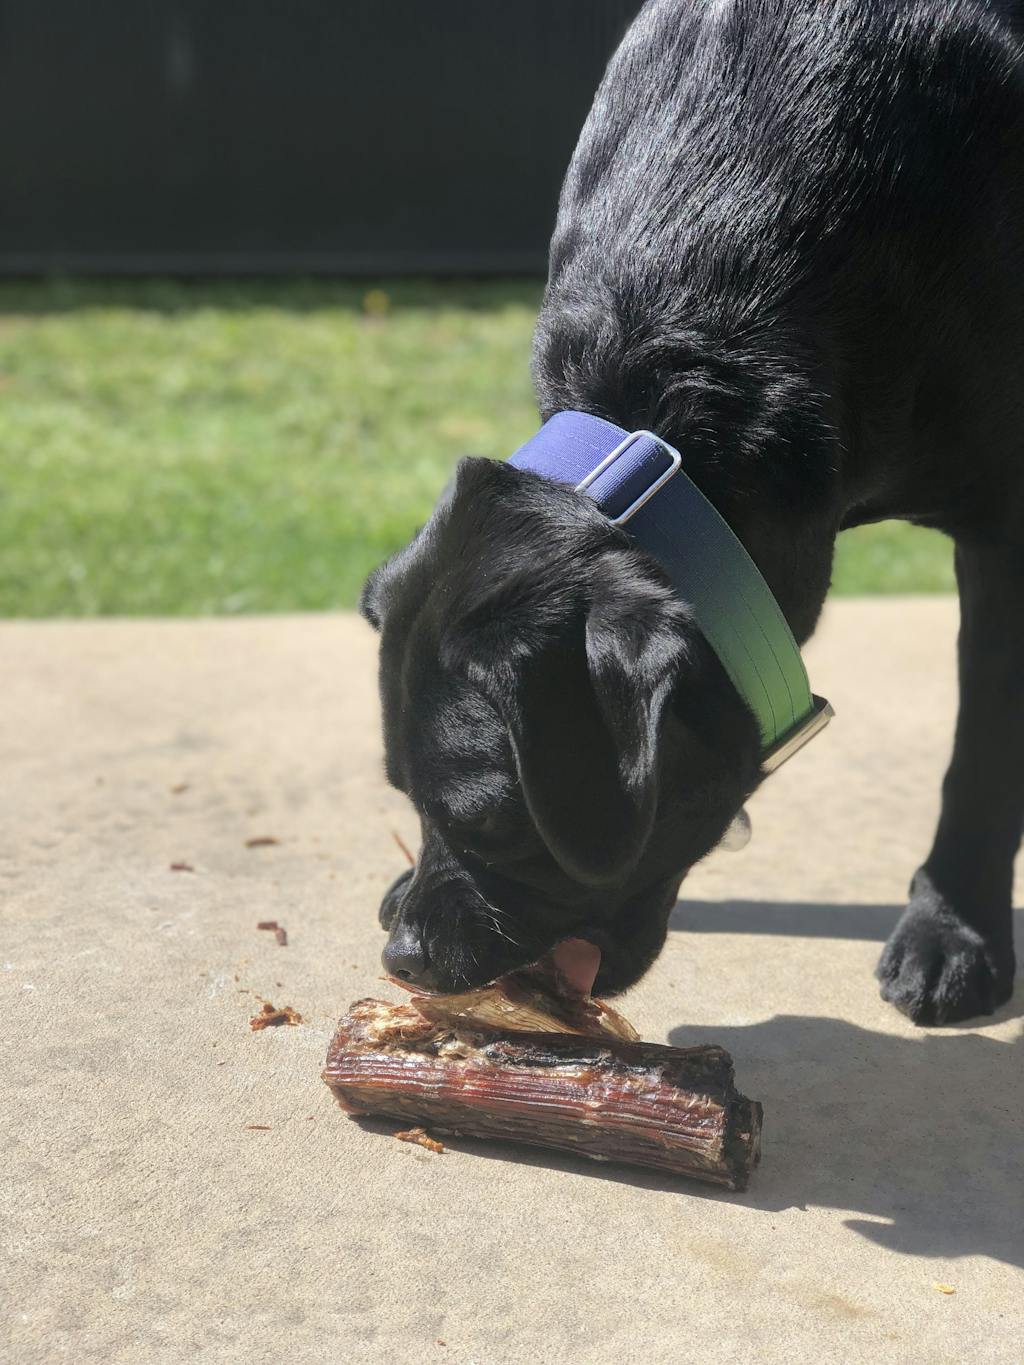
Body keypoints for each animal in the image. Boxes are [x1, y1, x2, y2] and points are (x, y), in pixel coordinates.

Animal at [360, 0, 1023, 1025]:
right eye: (403, 793)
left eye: (502, 824)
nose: (406, 958)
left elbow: (983, 755)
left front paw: (955, 927)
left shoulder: (1005, 524)